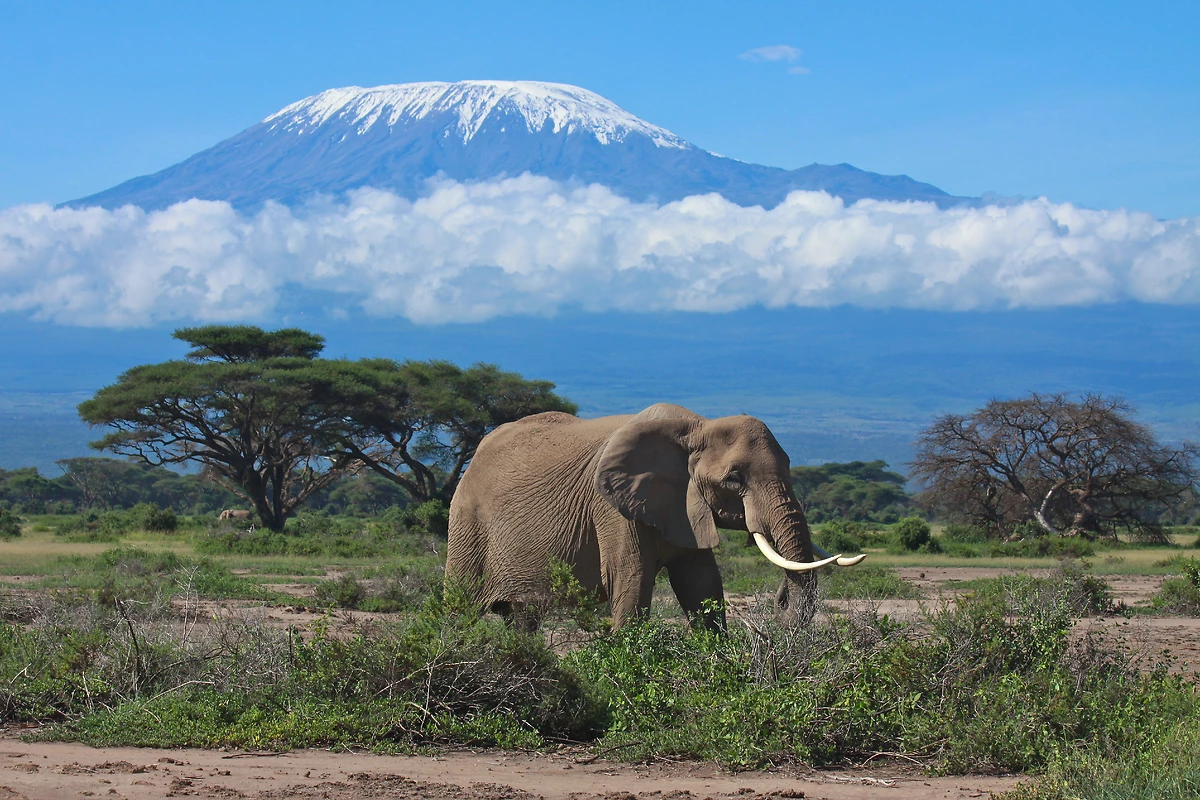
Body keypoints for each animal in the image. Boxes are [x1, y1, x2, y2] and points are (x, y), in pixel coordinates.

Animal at [445, 403, 864, 630]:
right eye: (734, 478)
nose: (779, 601)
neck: (696, 427)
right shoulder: (611, 508)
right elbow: (631, 581)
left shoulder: (685, 505)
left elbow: (702, 586)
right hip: (466, 521)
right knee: (460, 608)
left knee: (522, 618)